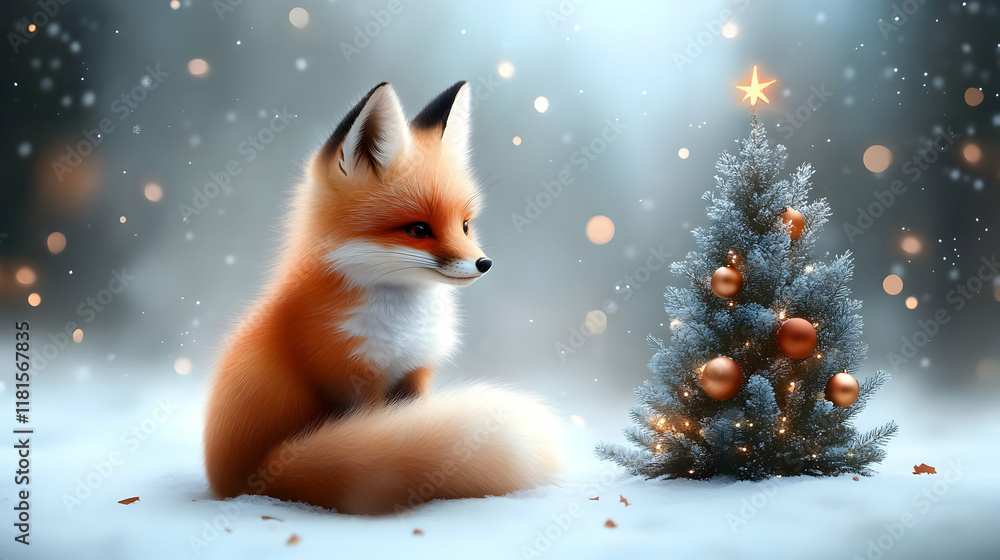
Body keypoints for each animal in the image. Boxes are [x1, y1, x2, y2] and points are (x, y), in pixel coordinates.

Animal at [203, 81, 562, 515]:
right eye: (418, 229)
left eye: (464, 225)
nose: (484, 263)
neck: (402, 327)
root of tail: (233, 481)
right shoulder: (352, 377)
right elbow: (379, 429)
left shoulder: (416, 370)